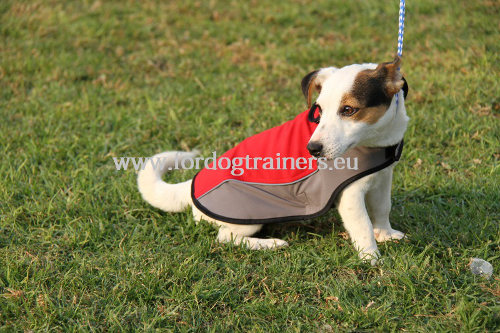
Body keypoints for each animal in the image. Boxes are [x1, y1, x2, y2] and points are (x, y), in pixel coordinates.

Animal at [136, 57, 406, 264]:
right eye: (318, 110)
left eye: (349, 110)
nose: (312, 149)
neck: (375, 141)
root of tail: (191, 187)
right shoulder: (350, 196)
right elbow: (363, 227)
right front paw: (372, 259)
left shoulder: (382, 180)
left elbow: (382, 209)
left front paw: (386, 234)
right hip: (247, 214)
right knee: (225, 237)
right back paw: (270, 244)